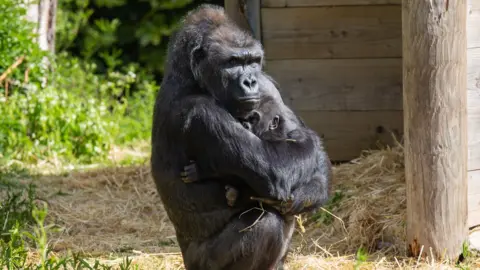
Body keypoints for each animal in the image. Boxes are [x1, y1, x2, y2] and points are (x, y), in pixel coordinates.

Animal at [152, 4, 332, 270]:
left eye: (252, 61)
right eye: (233, 62)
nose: (249, 81)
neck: (192, 79)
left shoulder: (267, 85)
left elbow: (312, 159)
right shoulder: (199, 112)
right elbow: (275, 169)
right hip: (199, 264)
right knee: (266, 222)